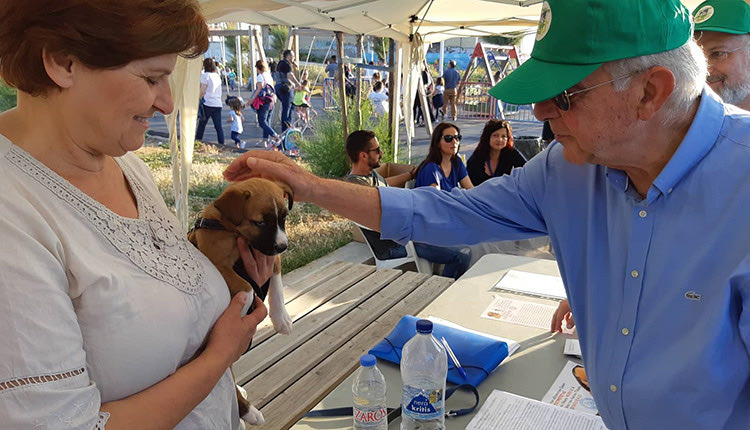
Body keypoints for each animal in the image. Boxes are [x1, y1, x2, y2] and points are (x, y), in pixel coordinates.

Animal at [188, 178, 294, 426]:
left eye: (284, 218)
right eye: (260, 222)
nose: (283, 246)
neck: (231, 231)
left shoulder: (269, 256)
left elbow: (276, 283)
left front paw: (281, 319)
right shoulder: (218, 263)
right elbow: (247, 288)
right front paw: (243, 312)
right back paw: (249, 412)